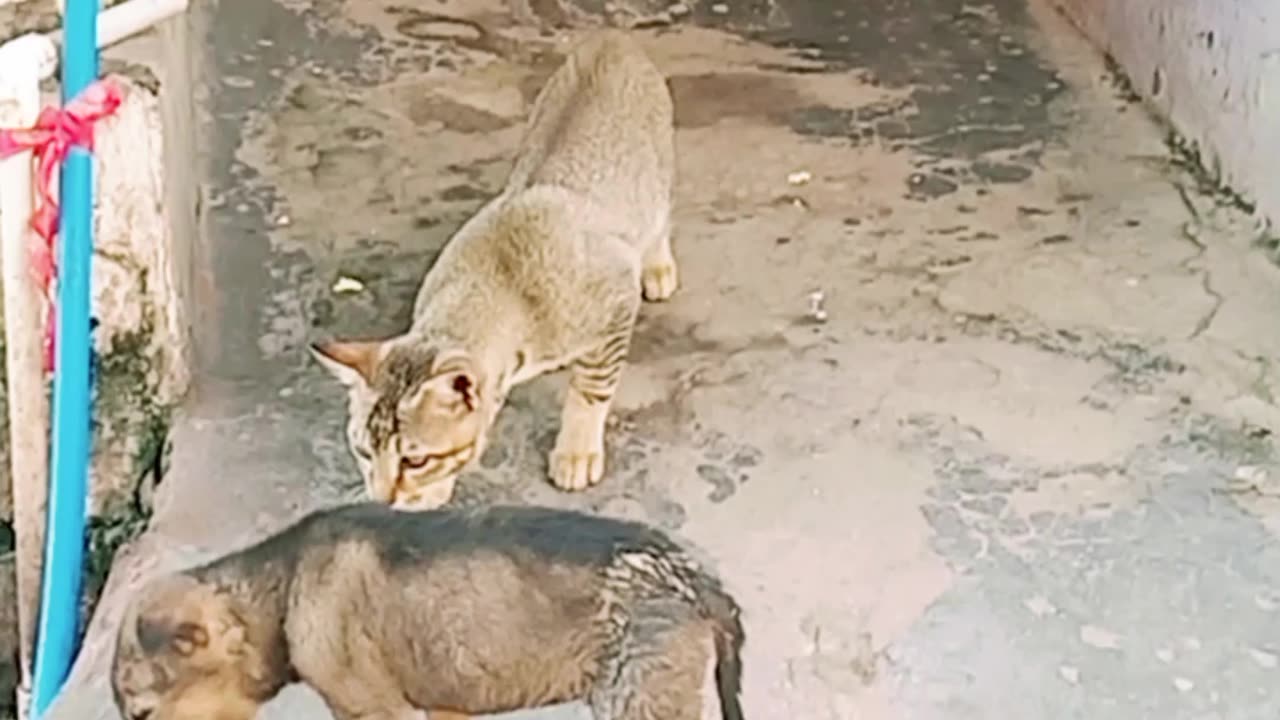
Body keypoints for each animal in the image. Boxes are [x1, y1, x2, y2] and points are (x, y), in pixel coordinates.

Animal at [116, 502, 747, 717]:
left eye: (142, 716)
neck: (284, 586)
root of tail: (698, 580)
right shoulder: (448, 703)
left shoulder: (376, 711)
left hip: (638, 699)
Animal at [311, 30, 680, 507]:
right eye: (362, 452)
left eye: (417, 460)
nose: (382, 501)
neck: (504, 281)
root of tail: (613, 38)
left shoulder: (616, 300)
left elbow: (592, 388)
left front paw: (576, 451)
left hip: (656, 173)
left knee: (659, 216)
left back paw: (658, 264)